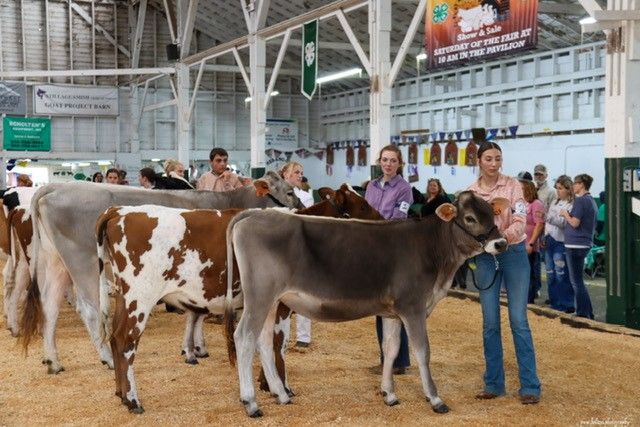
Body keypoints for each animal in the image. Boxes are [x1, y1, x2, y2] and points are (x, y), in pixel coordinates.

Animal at [97, 185, 382, 414]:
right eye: (364, 205)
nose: (386, 220)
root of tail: (118, 210)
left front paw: (269, 385)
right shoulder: (281, 305)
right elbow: (279, 345)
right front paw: (280, 387)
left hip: (123, 296)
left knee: (115, 338)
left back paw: (120, 394)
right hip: (139, 297)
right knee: (126, 342)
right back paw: (133, 400)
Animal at [228, 191, 508, 418]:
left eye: (491, 213)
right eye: (470, 218)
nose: (501, 243)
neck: (434, 253)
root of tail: (254, 214)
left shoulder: (393, 313)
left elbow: (391, 349)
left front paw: (389, 394)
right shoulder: (413, 307)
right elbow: (423, 352)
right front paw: (435, 399)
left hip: (272, 302)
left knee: (263, 342)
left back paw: (281, 394)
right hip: (259, 297)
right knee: (244, 337)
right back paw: (251, 403)